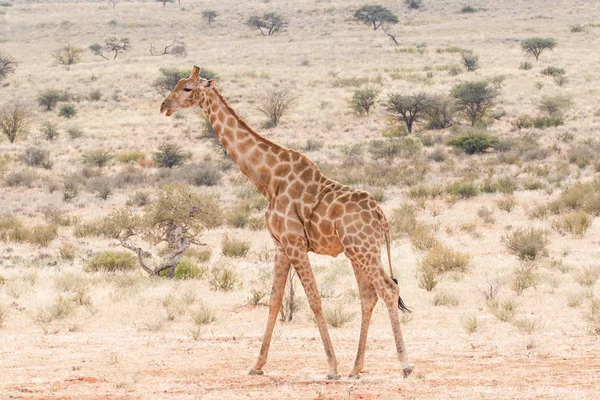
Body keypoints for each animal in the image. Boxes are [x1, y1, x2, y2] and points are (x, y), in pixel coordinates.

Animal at [159, 65, 412, 378]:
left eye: (187, 89)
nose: (164, 106)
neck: (268, 179)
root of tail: (381, 216)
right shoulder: (280, 245)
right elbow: (274, 301)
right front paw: (256, 365)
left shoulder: (294, 242)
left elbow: (314, 299)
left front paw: (331, 367)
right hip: (359, 251)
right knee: (369, 296)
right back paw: (356, 368)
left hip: (363, 249)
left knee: (388, 289)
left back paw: (405, 365)